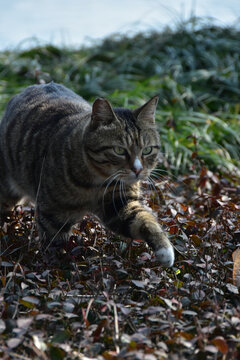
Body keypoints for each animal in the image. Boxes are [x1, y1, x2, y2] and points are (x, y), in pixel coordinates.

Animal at [0, 83, 173, 266]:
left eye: (147, 150)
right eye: (119, 150)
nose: (138, 170)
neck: (96, 183)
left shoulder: (119, 204)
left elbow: (143, 219)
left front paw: (165, 250)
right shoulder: (53, 213)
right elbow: (53, 245)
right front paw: (57, 265)